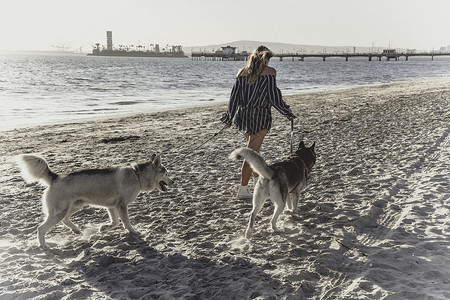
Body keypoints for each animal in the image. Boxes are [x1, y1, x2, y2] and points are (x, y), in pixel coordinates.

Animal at [15, 154, 174, 250]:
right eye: (166, 173)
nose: (173, 181)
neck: (137, 175)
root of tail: (55, 177)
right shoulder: (121, 205)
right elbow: (126, 222)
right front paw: (133, 232)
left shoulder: (112, 206)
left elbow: (115, 222)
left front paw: (104, 228)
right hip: (59, 212)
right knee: (41, 229)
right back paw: (44, 246)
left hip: (76, 206)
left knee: (65, 219)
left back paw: (76, 229)